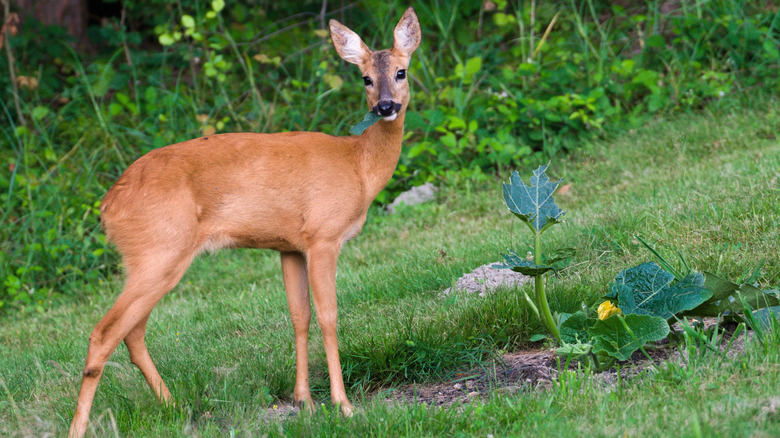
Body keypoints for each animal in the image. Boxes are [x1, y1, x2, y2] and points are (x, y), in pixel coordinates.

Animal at [68, 7, 421, 437]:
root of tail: (107, 206)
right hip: (159, 250)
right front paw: (343, 405)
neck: (359, 167)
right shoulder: (323, 235)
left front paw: (304, 401)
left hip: (152, 258)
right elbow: (328, 317)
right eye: (366, 78)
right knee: (104, 332)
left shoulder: (290, 245)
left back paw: (177, 408)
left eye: (402, 71)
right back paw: (82, 426)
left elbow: (299, 316)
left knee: (132, 332)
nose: (386, 106)